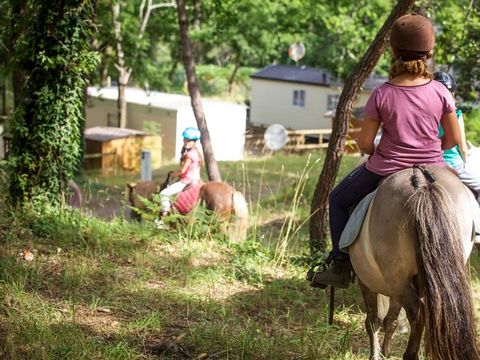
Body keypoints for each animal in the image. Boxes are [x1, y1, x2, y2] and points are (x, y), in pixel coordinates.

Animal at [348, 165, 480, 360]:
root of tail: (420, 179)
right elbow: (390, 319)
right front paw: (386, 352)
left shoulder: (366, 281)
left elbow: (373, 320)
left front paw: (376, 355)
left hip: (397, 279)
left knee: (417, 313)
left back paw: (410, 354)